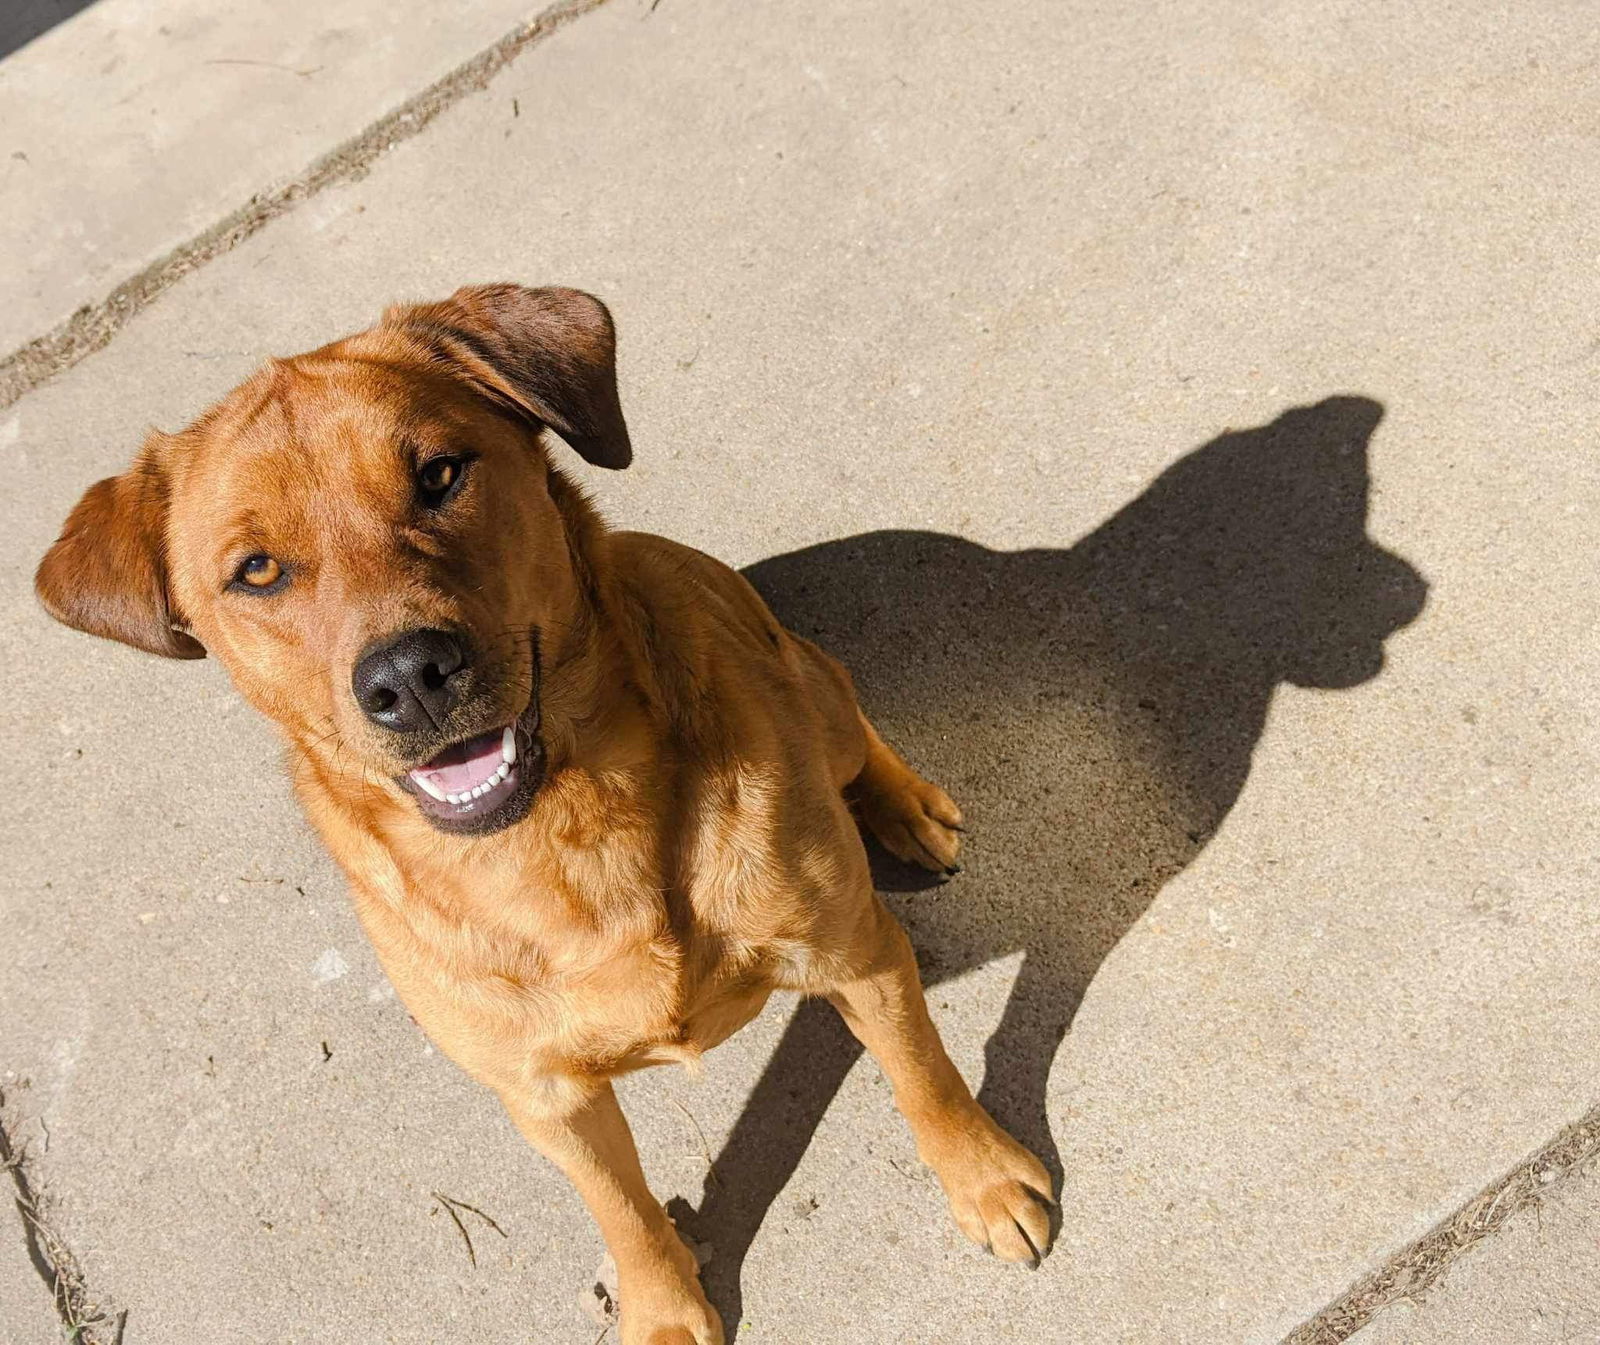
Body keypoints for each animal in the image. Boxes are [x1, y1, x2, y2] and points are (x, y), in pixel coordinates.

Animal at [34, 286, 1049, 1343]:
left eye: (438, 474)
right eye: (258, 570)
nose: (410, 676)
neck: (568, 835)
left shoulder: (860, 958)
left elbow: (924, 1076)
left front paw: (982, 1176)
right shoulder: (547, 1100)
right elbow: (622, 1207)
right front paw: (663, 1305)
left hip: (817, 698)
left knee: (846, 701)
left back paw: (905, 805)